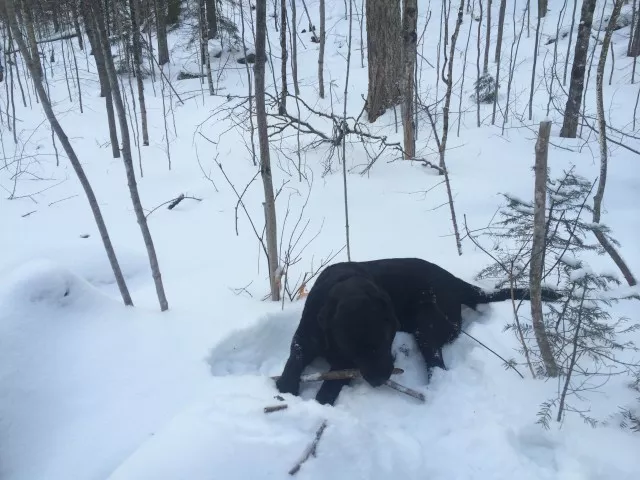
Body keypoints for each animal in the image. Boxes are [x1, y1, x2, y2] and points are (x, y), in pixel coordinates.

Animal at [276, 256, 560, 404]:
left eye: (386, 338)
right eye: (353, 343)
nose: (381, 378)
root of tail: (458, 284)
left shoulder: (346, 362)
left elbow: (335, 379)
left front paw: (322, 398)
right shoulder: (305, 337)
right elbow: (294, 357)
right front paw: (286, 386)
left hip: (427, 326)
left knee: (436, 365)